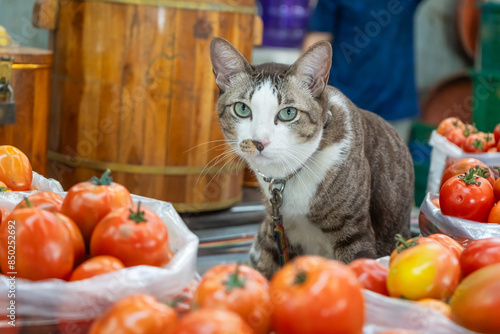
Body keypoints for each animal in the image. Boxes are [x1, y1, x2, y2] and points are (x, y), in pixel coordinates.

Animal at [208, 36, 414, 280]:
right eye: (242, 109)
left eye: (288, 113)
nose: (259, 142)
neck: (289, 172)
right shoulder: (275, 228)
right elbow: (265, 267)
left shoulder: (355, 233)